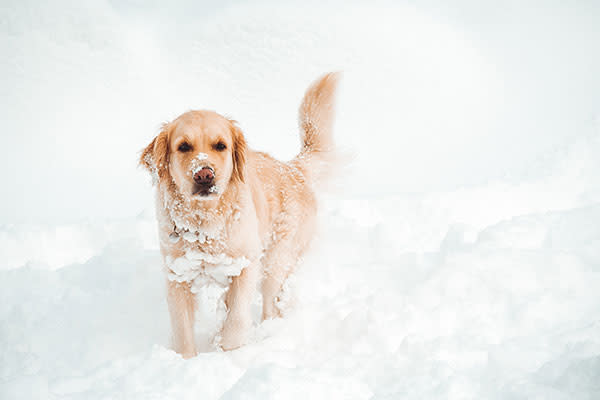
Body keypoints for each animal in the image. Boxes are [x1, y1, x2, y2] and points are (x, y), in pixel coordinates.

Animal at [138, 72, 340, 356]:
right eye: (184, 146)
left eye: (220, 146)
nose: (204, 175)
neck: (204, 224)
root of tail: (292, 169)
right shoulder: (177, 275)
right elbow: (182, 330)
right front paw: (186, 359)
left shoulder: (246, 266)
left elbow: (236, 319)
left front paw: (229, 353)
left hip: (276, 261)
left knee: (271, 307)